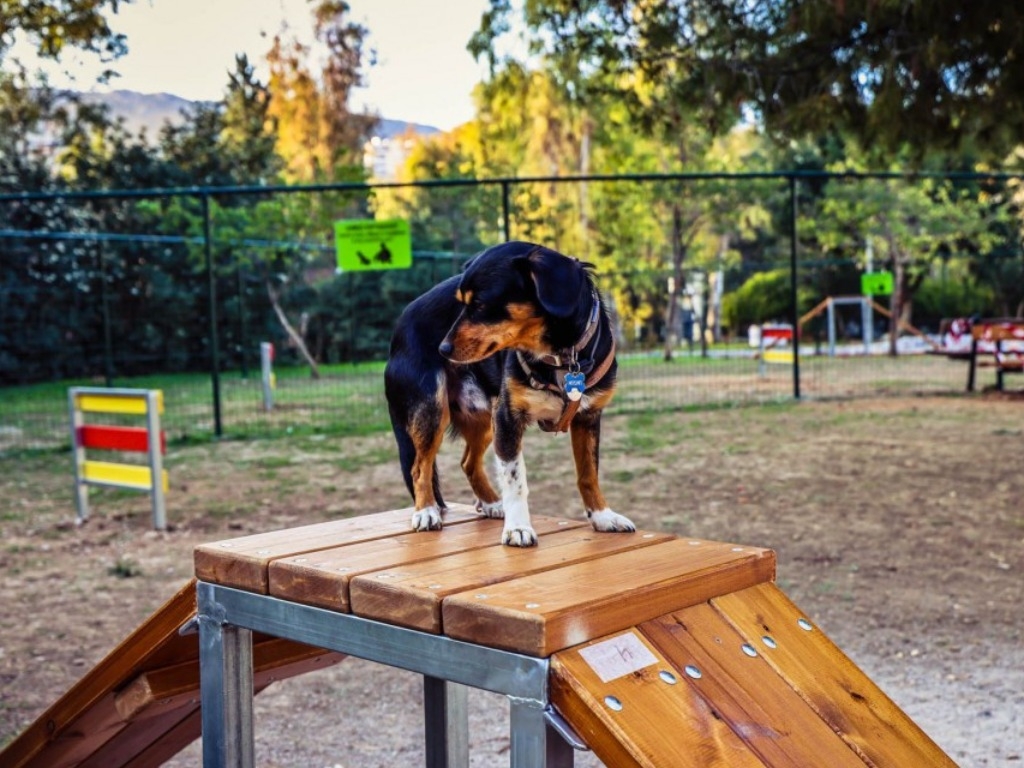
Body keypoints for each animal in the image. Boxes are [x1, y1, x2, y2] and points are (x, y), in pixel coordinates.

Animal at [385, 240, 630, 548]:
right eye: (461, 304)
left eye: (479, 304)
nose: (442, 349)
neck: (561, 356)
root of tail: (398, 328)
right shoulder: (508, 418)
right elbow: (515, 481)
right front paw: (518, 528)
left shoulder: (588, 418)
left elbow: (588, 474)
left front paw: (602, 517)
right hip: (433, 411)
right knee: (420, 468)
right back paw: (426, 511)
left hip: (484, 418)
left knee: (468, 462)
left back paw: (491, 503)